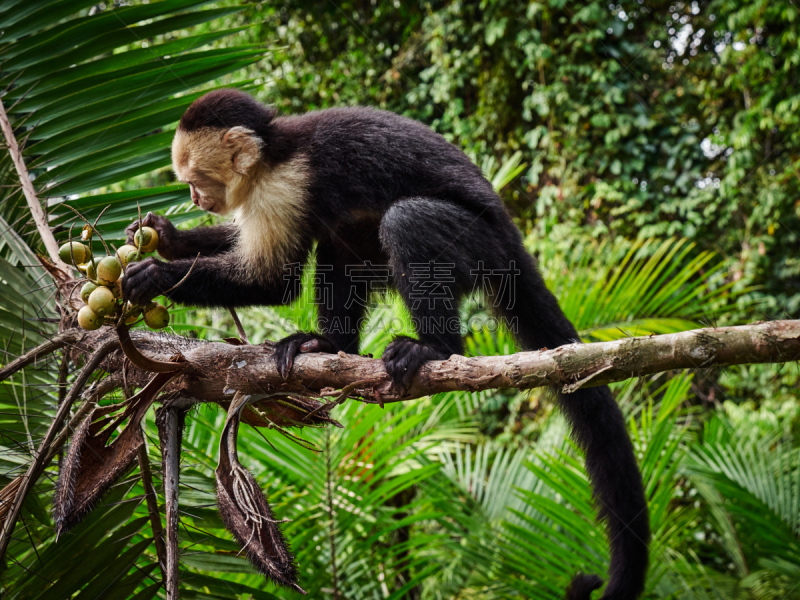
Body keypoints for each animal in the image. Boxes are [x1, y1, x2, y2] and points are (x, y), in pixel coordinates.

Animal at [123, 89, 648, 600]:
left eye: (196, 177)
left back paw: (436, 348)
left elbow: (272, 279)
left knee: (405, 221)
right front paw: (168, 238)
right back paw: (328, 344)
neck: (271, 152)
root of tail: (514, 241)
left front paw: (158, 275)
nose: (194, 196)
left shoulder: (283, 185)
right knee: (339, 243)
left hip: (481, 246)